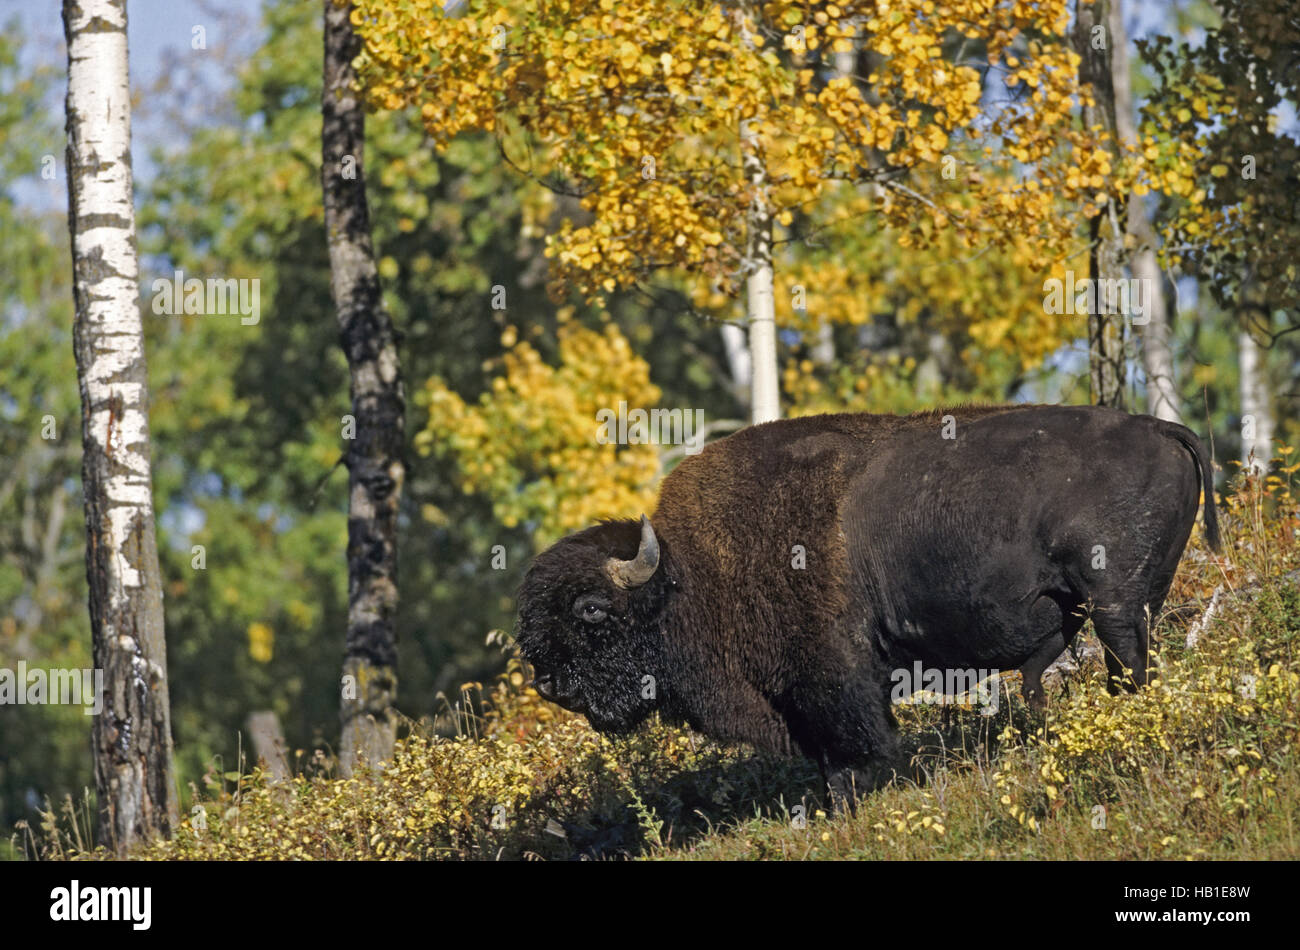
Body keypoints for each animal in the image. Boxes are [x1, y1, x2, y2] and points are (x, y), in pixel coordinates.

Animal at [514, 405, 1216, 805]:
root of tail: (1161, 428)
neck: (688, 574)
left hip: (1114, 603)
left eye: (591, 611)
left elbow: (856, 750)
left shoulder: (834, 679)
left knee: (1128, 663)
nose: (548, 683)